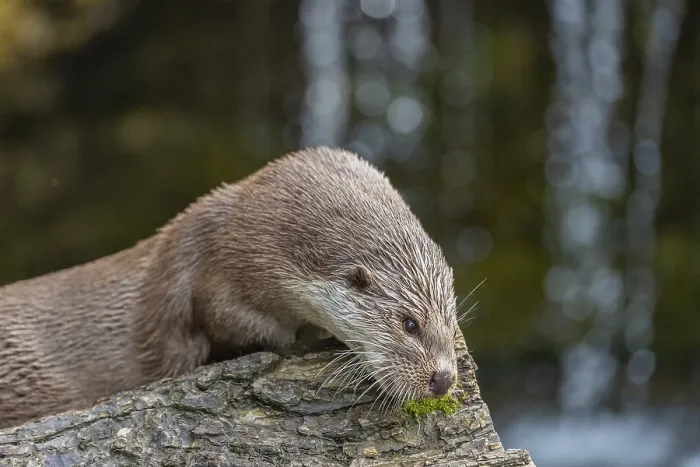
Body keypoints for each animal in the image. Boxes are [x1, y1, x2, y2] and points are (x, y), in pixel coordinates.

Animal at [0, 147, 471, 429]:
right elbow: (234, 325)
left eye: (451, 317)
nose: (444, 379)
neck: (241, 239)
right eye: (409, 324)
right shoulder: (217, 282)